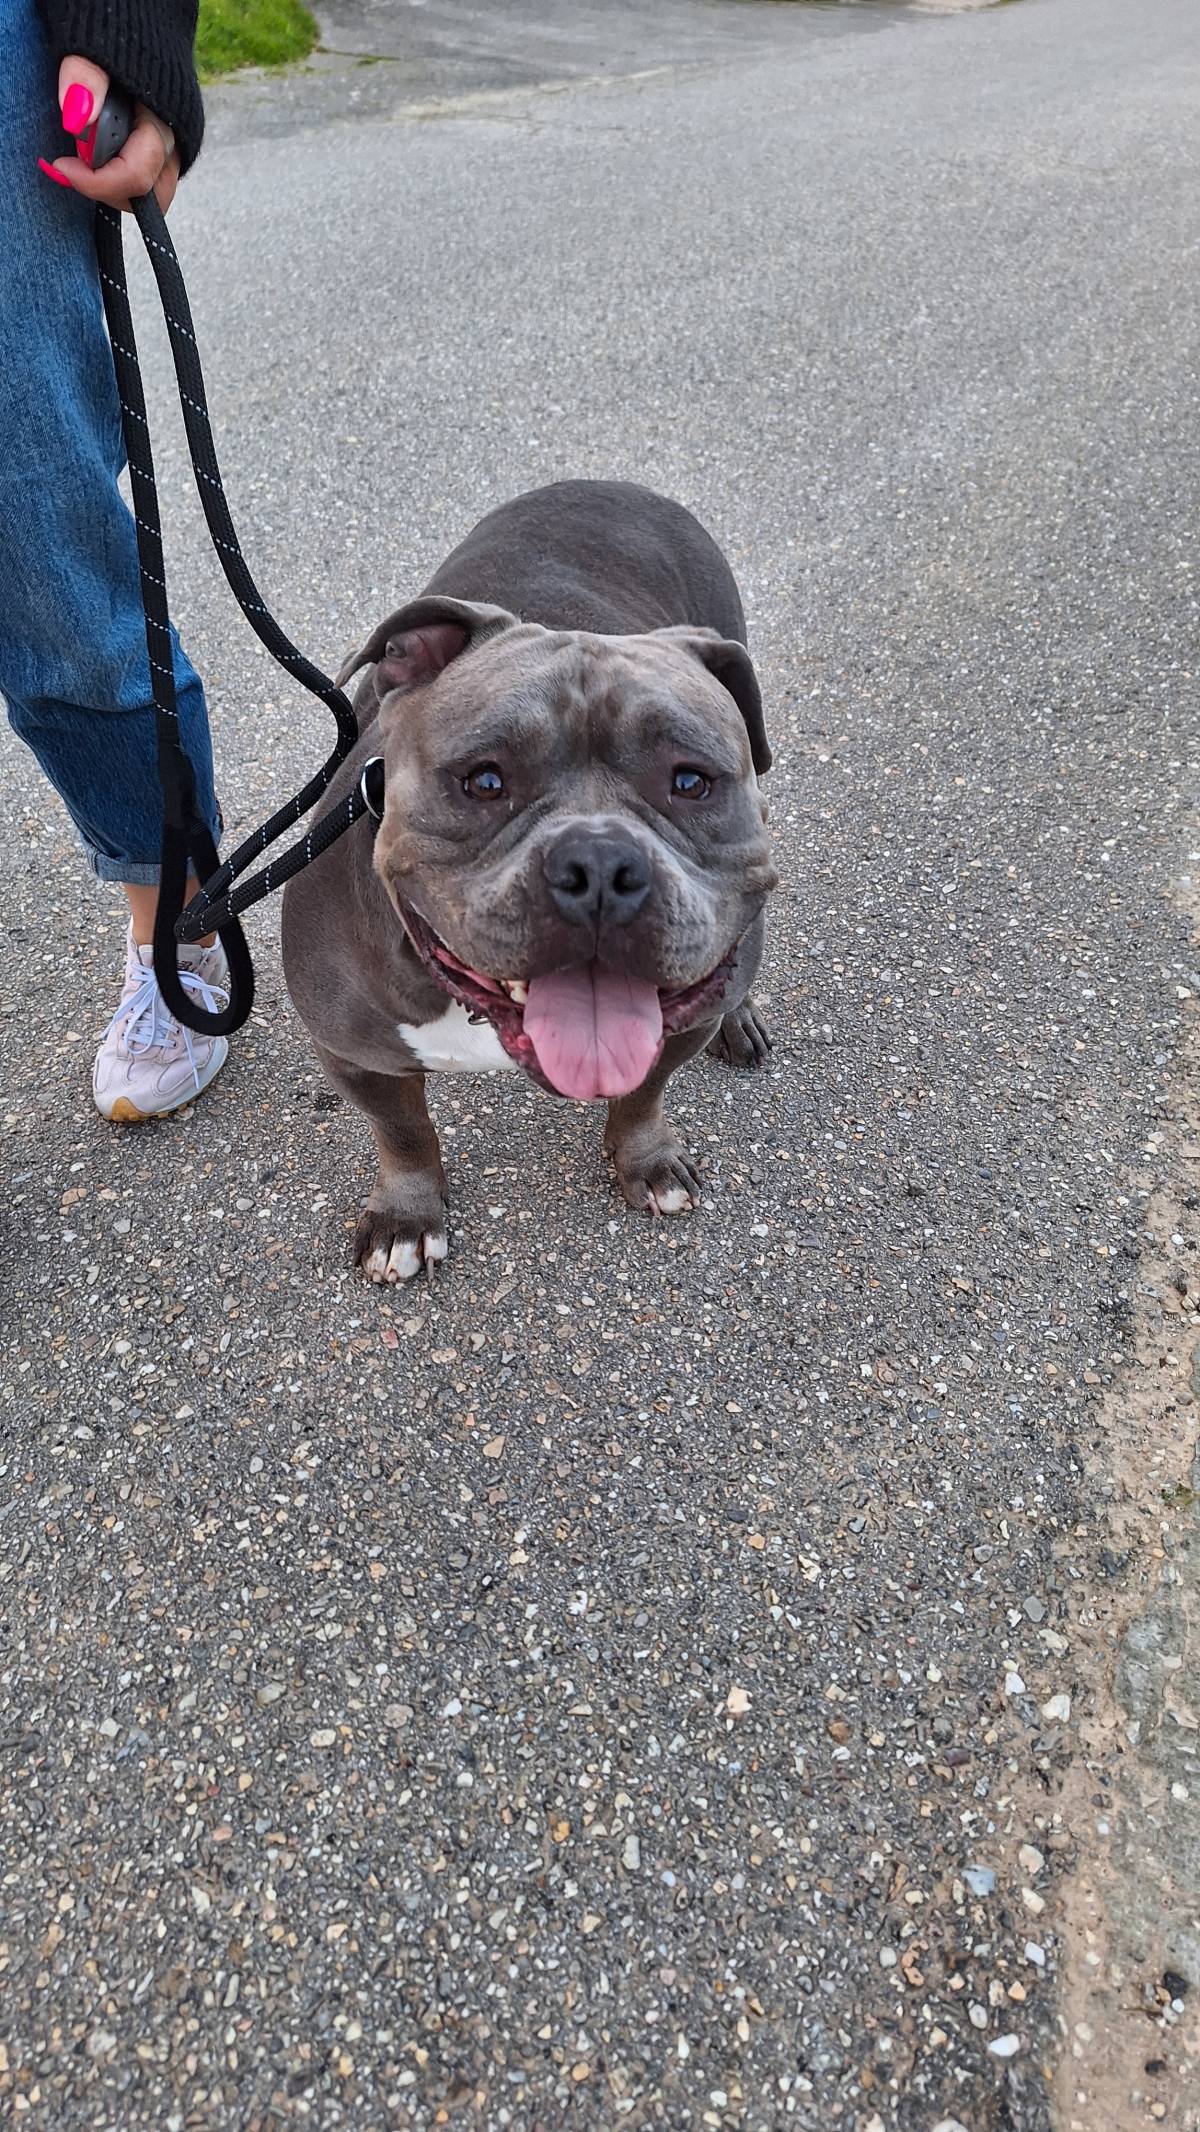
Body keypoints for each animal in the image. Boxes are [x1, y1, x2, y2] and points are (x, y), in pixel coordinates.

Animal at [285, 479, 784, 1279]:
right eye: (484, 781)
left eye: (690, 782)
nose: (601, 866)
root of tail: (614, 483)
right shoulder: (355, 1056)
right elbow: (404, 1134)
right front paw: (406, 1217)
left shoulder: (670, 1034)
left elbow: (643, 1094)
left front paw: (646, 1161)